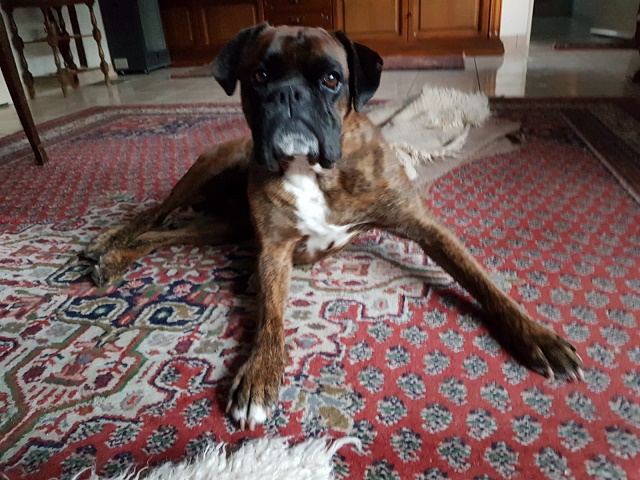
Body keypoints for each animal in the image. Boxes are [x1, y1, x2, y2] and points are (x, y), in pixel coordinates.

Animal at [86, 24, 583, 431]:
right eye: (259, 77)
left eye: (330, 79)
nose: (289, 95)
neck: (314, 170)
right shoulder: (274, 251)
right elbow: (270, 315)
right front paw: (260, 375)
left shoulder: (427, 228)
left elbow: (484, 282)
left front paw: (536, 336)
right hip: (208, 170)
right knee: (153, 215)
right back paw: (106, 246)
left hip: (223, 227)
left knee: (161, 234)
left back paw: (113, 255)